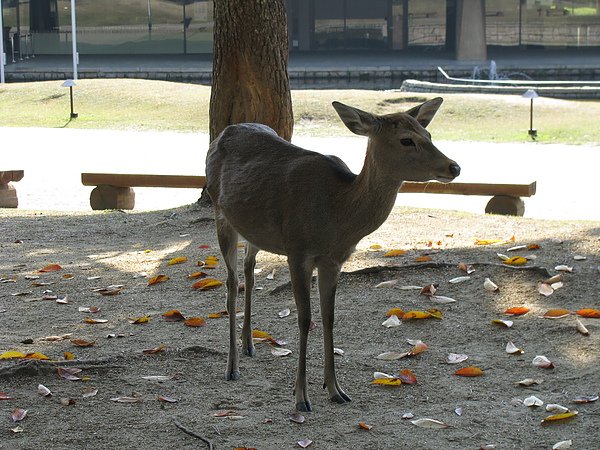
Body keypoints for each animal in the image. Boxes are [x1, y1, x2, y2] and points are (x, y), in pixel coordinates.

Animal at [204, 97, 462, 412]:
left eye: (428, 135)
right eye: (406, 140)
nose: (454, 167)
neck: (336, 215)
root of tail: (223, 133)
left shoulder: (334, 260)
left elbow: (329, 317)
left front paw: (336, 389)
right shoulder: (298, 251)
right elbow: (305, 319)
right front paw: (301, 397)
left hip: (254, 229)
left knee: (249, 271)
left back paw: (249, 344)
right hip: (220, 212)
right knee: (231, 283)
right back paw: (232, 367)